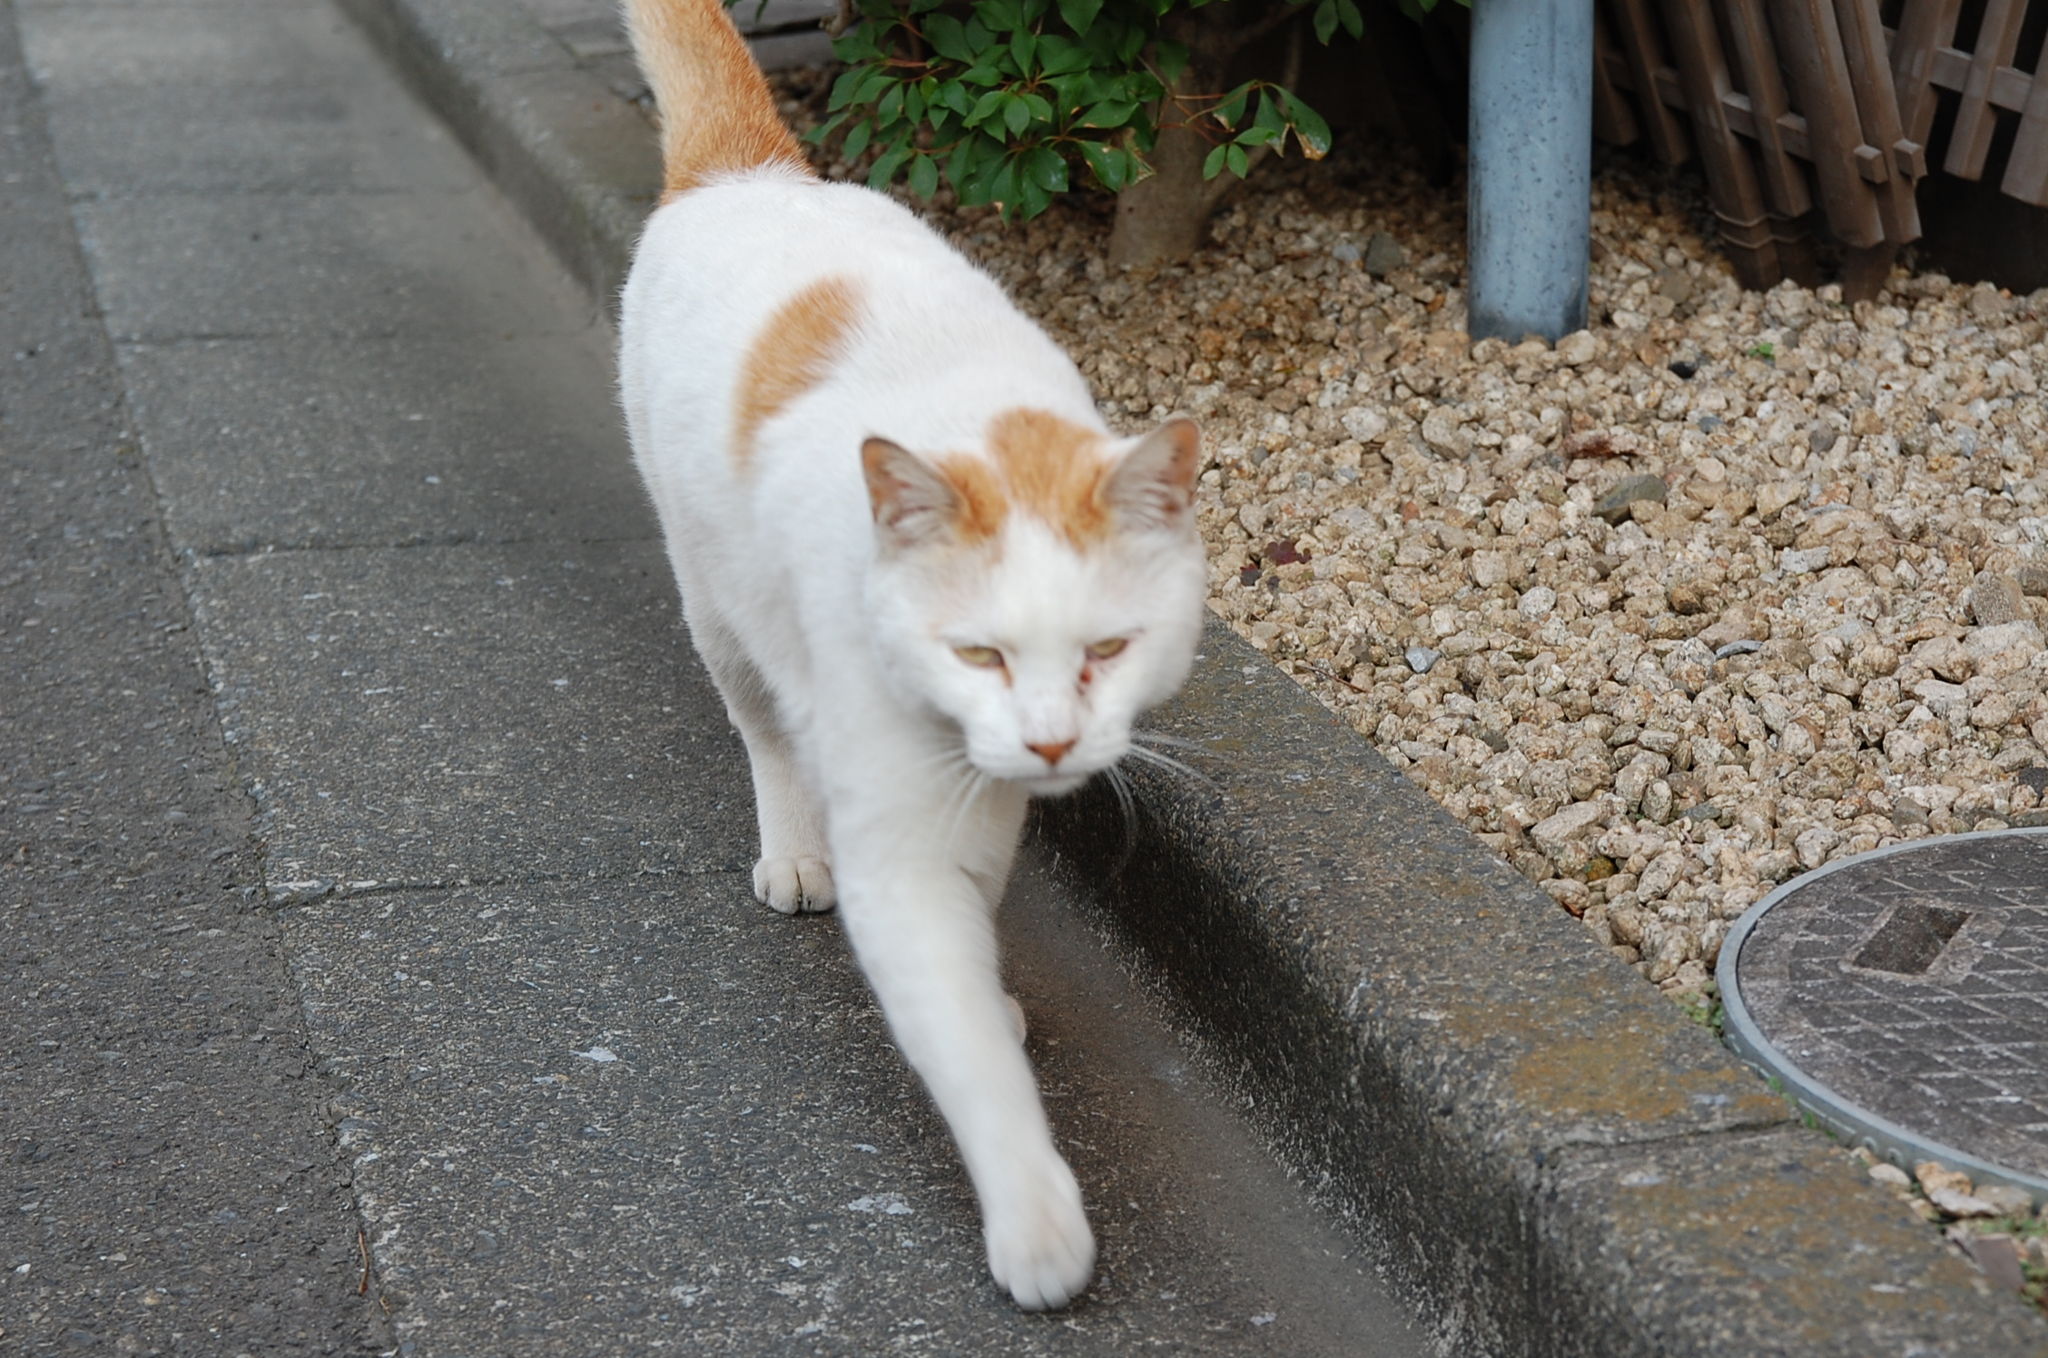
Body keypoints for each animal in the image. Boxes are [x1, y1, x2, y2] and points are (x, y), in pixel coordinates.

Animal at [616, 0, 1207, 1310]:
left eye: (1106, 648)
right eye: (978, 653)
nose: (1051, 738)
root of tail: (750, 168)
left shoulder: (986, 796)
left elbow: (981, 908)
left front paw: (998, 986)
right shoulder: (896, 839)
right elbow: (961, 1041)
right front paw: (1038, 1226)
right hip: (712, 598)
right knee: (763, 729)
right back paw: (794, 850)